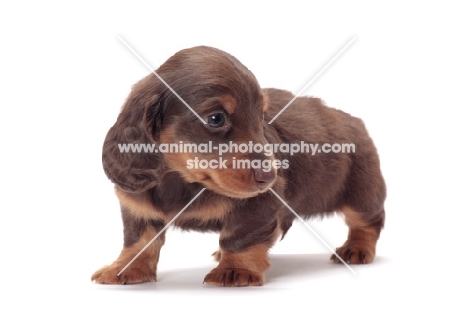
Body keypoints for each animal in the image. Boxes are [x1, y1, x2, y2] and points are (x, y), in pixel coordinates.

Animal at [90, 46, 384, 288]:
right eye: (216, 118)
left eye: (261, 117)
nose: (270, 176)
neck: (183, 180)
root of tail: (354, 121)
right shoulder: (137, 205)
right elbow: (138, 241)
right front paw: (124, 269)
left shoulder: (258, 205)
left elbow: (239, 237)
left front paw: (235, 270)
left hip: (363, 193)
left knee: (367, 222)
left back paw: (356, 249)